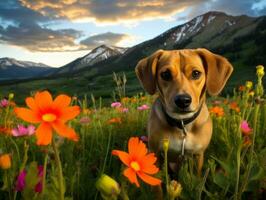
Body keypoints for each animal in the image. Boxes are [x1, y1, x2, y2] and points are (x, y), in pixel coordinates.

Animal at [136, 48, 232, 195]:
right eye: (165, 74)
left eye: (196, 73)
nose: (182, 100)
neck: (181, 124)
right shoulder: (155, 153)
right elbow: (156, 186)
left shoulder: (197, 155)